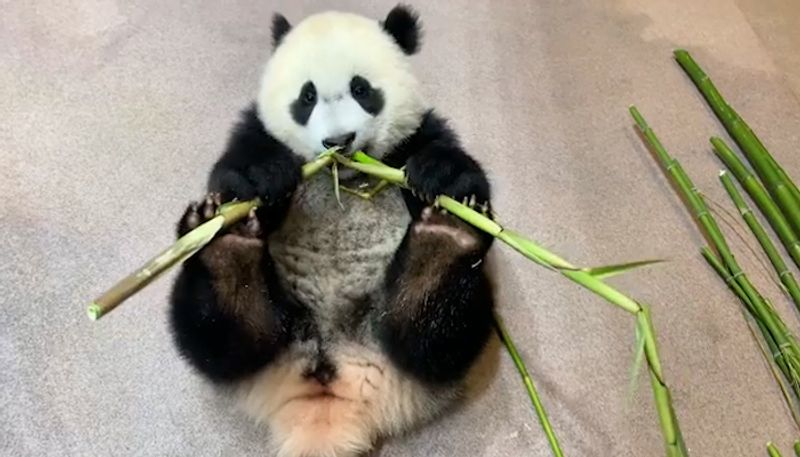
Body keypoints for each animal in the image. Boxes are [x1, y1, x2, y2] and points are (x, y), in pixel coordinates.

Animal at [169, 4, 494, 456]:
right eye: (306, 97)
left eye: (362, 89)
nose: (339, 141)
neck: (344, 175)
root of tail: (329, 399)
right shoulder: (257, 128)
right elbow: (237, 167)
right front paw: (263, 178)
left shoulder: (414, 135)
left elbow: (451, 162)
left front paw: (442, 180)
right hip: (264, 334)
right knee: (217, 335)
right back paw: (227, 252)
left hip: (415, 335)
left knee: (435, 338)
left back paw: (444, 243)